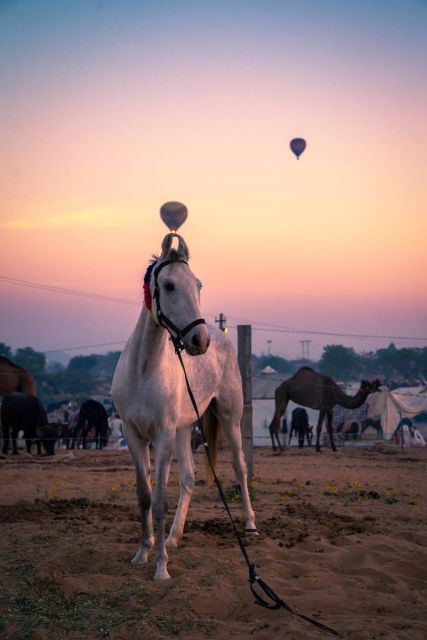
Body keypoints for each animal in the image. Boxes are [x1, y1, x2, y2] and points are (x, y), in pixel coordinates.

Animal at [112, 234, 256, 580]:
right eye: (169, 285)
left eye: (198, 284)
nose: (199, 340)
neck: (143, 370)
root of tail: (221, 333)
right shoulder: (135, 437)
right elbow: (144, 497)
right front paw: (143, 552)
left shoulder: (162, 436)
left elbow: (160, 501)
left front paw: (161, 568)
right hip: (184, 429)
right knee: (189, 479)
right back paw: (173, 537)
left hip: (228, 417)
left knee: (240, 467)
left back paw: (249, 523)